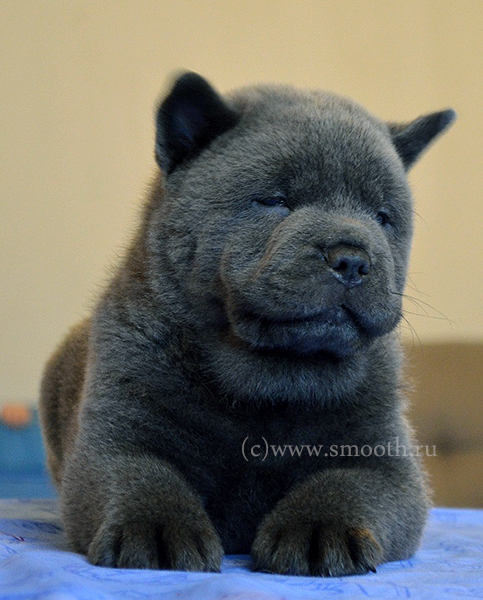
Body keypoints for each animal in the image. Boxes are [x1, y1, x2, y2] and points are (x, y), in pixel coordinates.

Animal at [39, 73, 455, 576]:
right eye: (276, 201)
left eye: (383, 217)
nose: (352, 258)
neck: (270, 378)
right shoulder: (114, 438)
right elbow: (142, 475)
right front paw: (157, 531)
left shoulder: (385, 460)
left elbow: (348, 485)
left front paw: (317, 531)